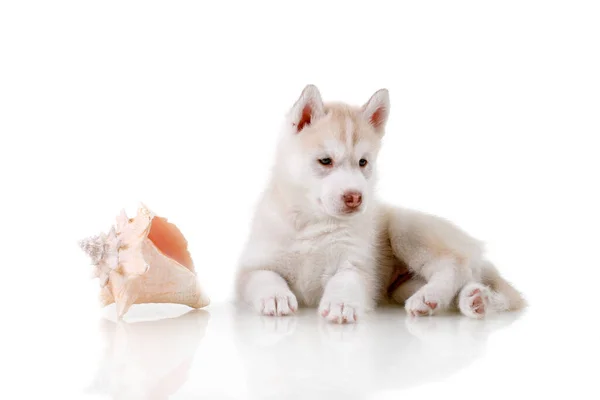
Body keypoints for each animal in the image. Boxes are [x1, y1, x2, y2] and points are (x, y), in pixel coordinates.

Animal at [234, 86, 524, 324]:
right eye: (325, 161)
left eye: (363, 162)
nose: (355, 197)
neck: (313, 221)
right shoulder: (251, 267)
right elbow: (265, 277)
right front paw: (275, 297)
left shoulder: (356, 265)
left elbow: (346, 280)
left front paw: (341, 303)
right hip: (400, 286)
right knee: (466, 280)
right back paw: (475, 300)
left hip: (405, 226)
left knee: (456, 265)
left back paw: (431, 296)